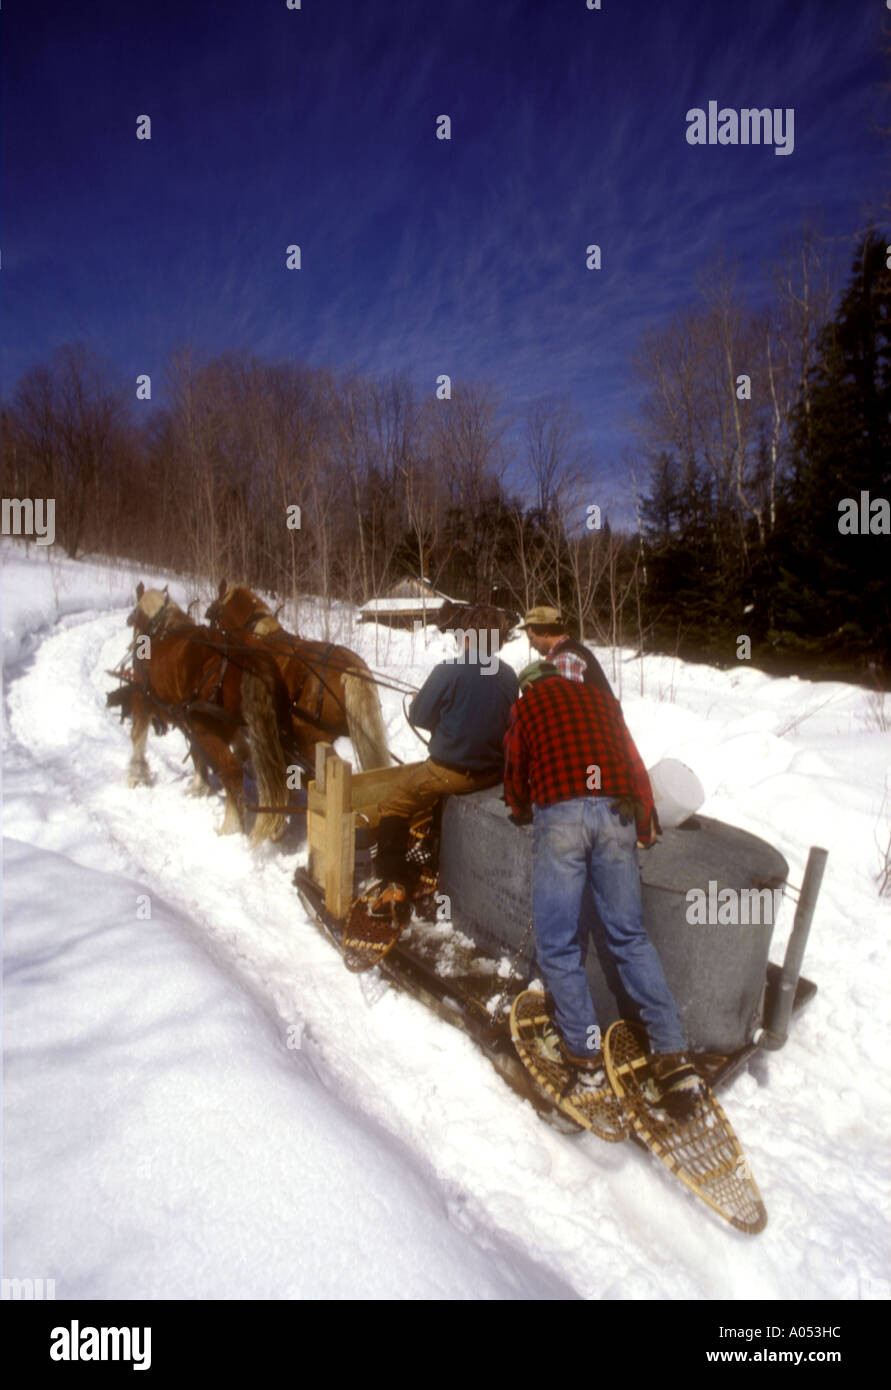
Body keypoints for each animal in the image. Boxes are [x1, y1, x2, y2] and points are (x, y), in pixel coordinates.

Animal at [121, 581, 291, 839]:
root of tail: (249, 658)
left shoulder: (144, 697)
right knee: (269, 770)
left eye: (133, 620)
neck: (159, 630)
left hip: (205, 723)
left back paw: (231, 827)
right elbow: (196, 751)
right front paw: (199, 786)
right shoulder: (187, 716)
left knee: (231, 770)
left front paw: (136, 775)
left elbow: (138, 736)